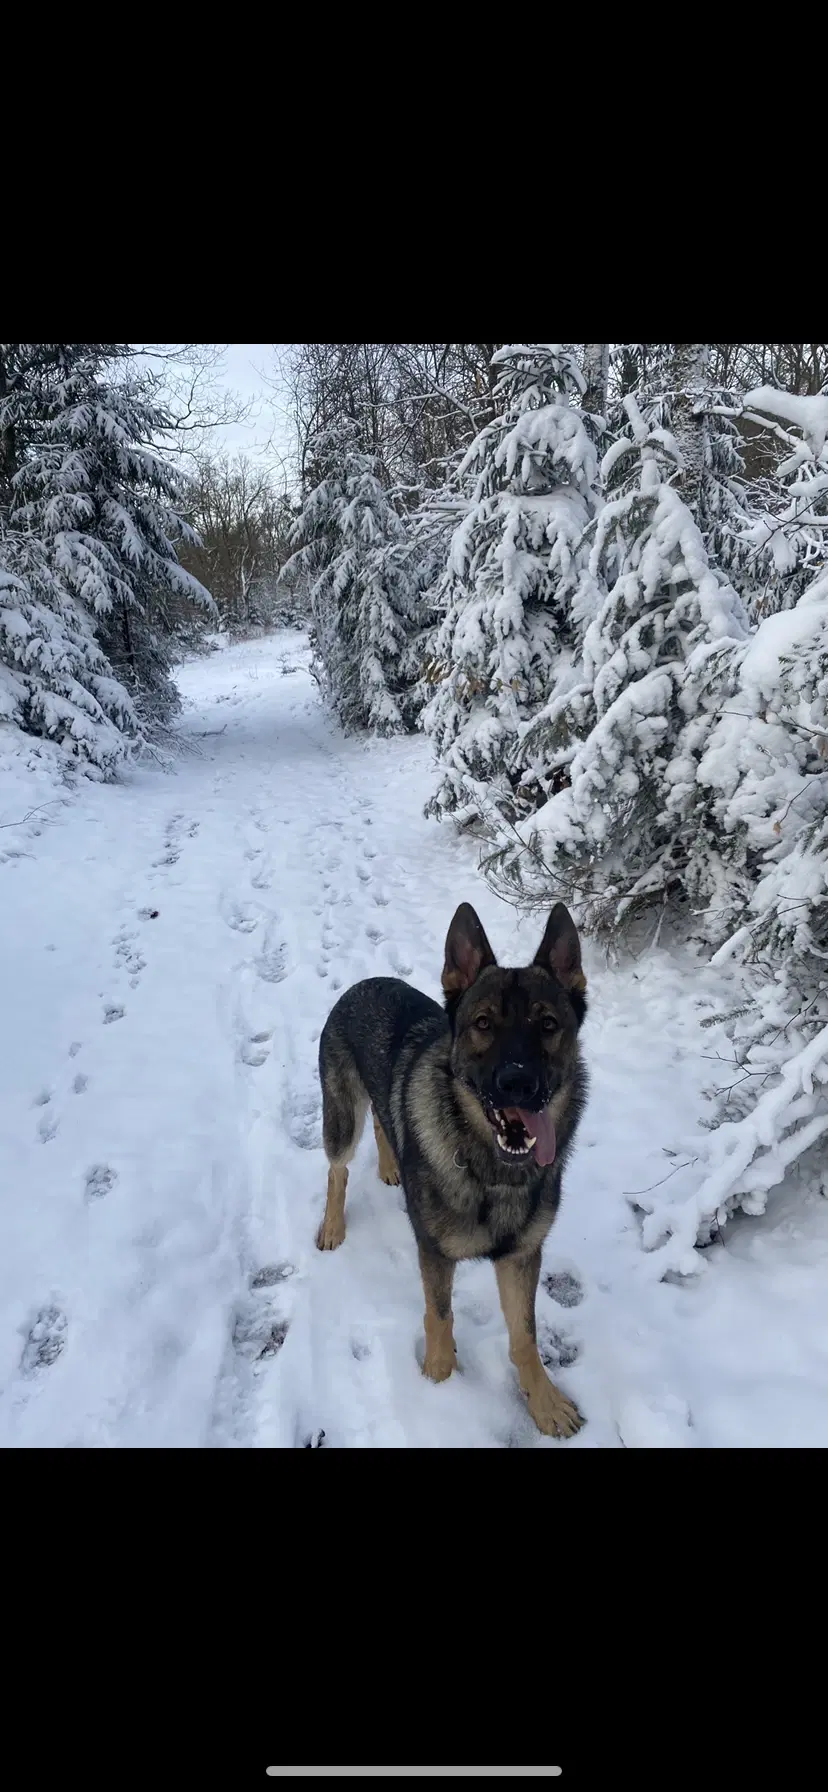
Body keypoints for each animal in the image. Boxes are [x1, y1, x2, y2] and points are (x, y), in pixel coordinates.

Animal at [317, 903, 587, 1433]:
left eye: (548, 1024)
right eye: (483, 1023)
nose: (517, 1084)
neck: (492, 1172)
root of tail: (363, 983)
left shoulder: (520, 1257)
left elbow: (525, 1335)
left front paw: (543, 1401)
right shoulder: (435, 1253)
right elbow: (440, 1316)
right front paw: (438, 1383)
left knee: (384, 1120)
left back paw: (391, 1167)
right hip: (341, 1117)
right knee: (338, 1168)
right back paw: (334, 1225)